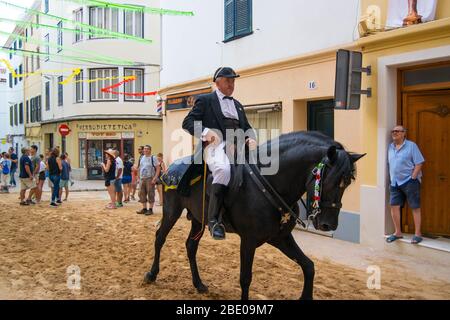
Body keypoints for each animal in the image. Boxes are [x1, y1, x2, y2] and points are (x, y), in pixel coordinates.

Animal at [144, 131, 366, 300]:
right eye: (329, 180)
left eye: (347, 183)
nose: (328, 225)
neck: (271, 184)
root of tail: (171, 168)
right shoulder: (249, 240)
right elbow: (245, 278)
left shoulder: (280, 238)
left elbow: (309, 266)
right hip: (172, 212)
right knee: (159, 238)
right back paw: (151, 274)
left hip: (198, 220)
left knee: (190, 246)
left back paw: (198, 284)